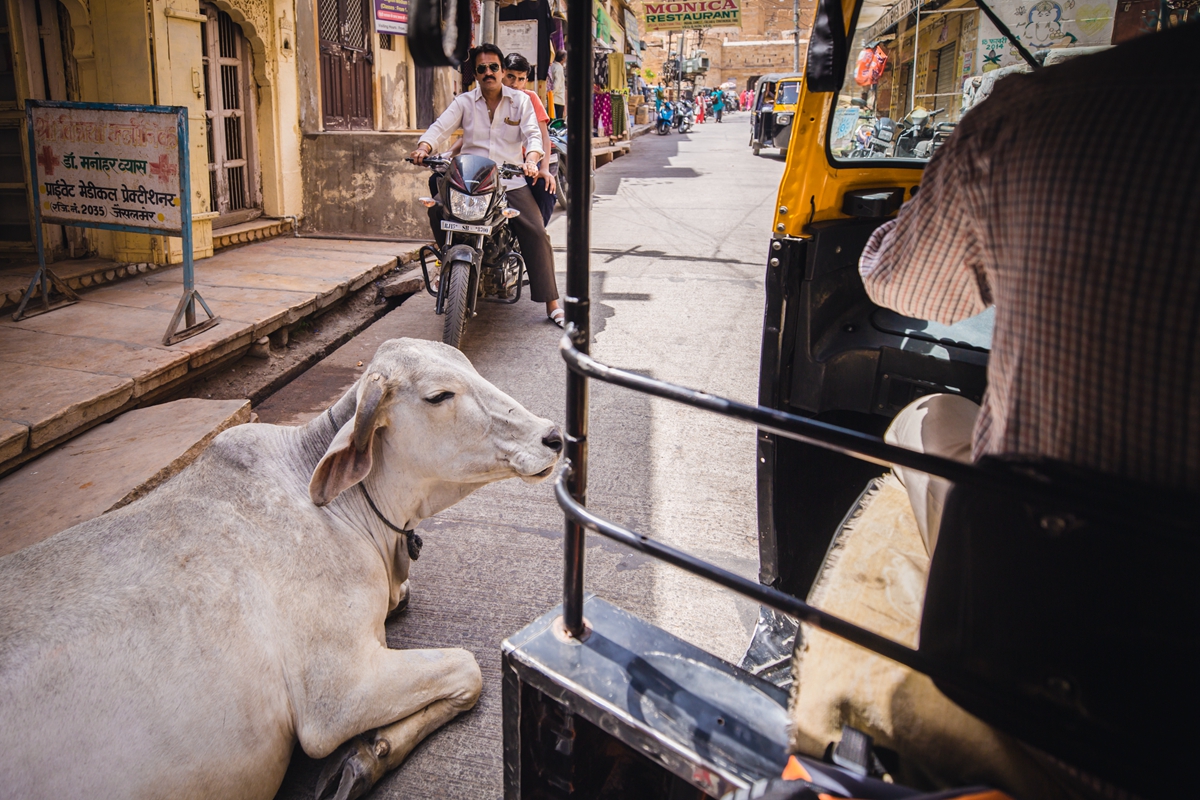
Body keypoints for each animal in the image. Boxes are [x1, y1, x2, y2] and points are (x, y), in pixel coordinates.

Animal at [0, 338, 561, 800]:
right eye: (439, 396)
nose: (552, 436)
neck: (341, 509)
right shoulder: (337, 694)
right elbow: (468, 669)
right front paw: (364, 756)